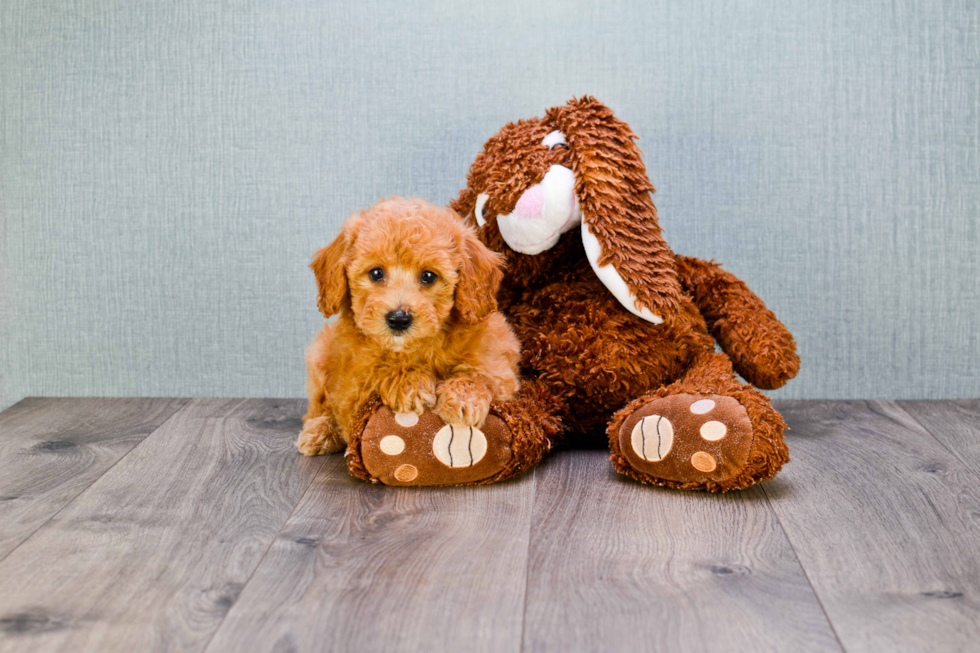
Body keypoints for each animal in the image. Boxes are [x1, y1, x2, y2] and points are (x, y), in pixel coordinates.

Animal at [294, 196, 520, 456]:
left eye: (429, 276)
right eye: (376, 273)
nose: (399, 318)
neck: (416, 348)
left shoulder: (498, 361)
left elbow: (481, 373)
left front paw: (464, 398)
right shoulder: (350, 387)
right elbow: (375, 371)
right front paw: (410, 383)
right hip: (320, 355)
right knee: (318, 407)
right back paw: (319, 432)